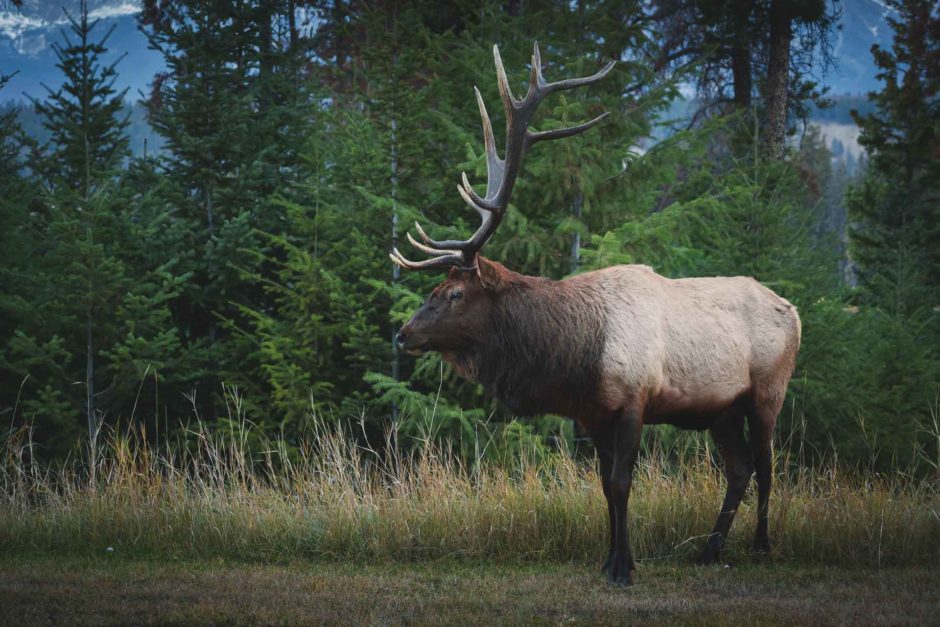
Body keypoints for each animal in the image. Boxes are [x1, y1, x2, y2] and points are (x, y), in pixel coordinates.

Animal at [390, 43, 800, 584]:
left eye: (454, 293)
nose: (402, 334)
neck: (576, 357)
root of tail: (794, 311)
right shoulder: (593, 414)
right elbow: (606, 486)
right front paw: (610, 559)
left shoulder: (633, 403)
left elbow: (624, 484)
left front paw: (625, 567)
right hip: (721, 407)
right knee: (740, 469)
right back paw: (709, 550)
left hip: (767, 391)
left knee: (769, 464)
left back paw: (762, 544)